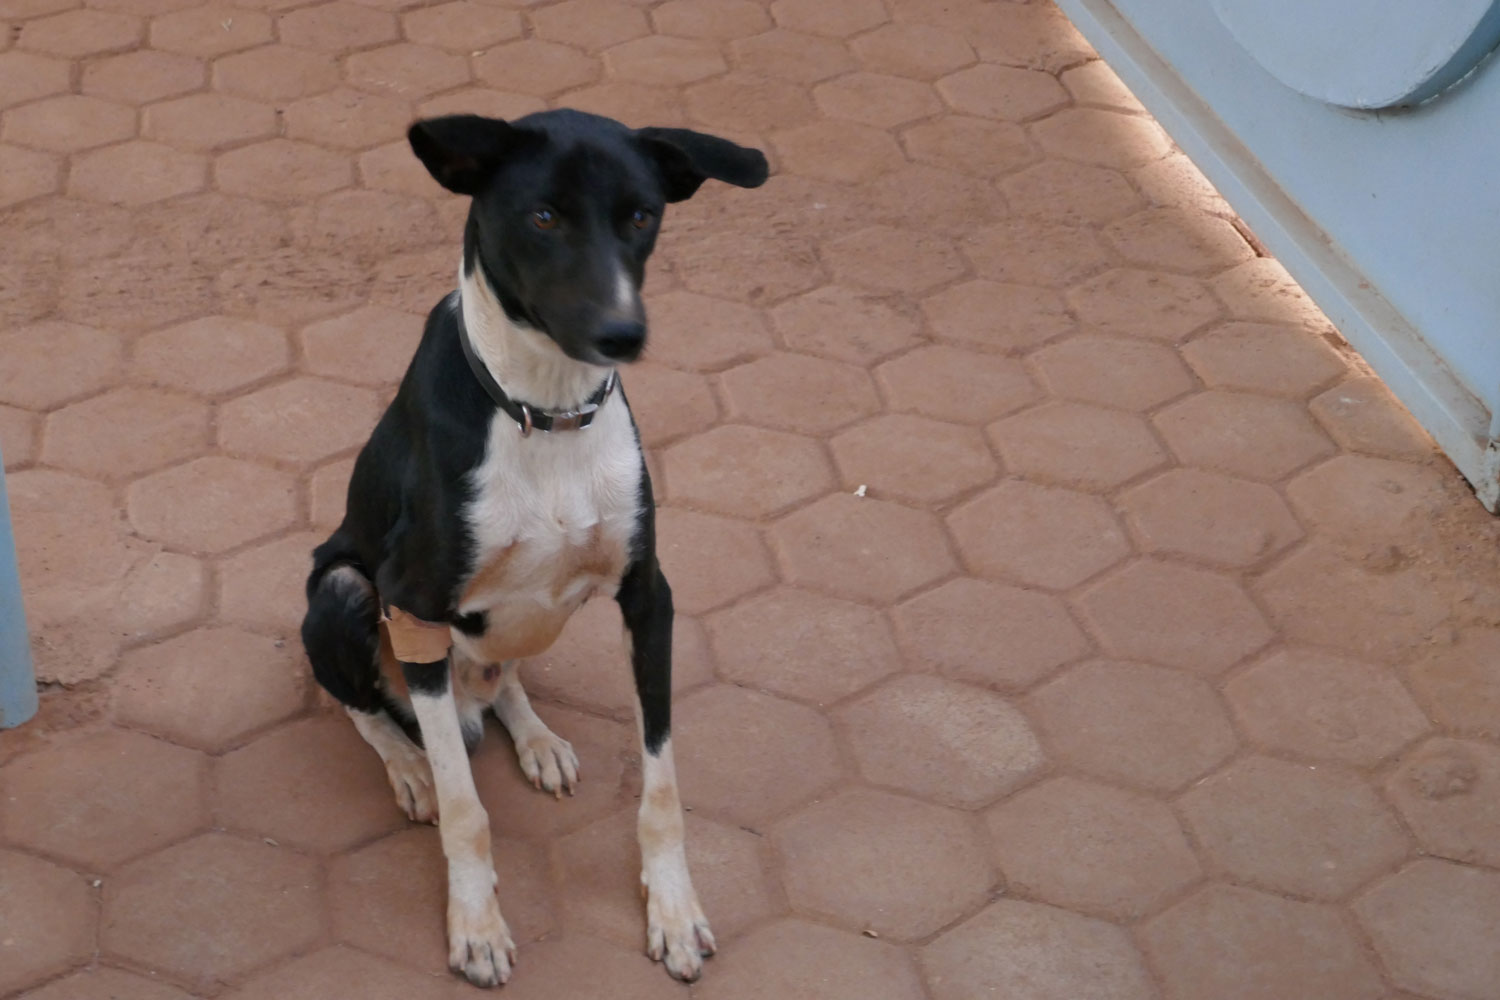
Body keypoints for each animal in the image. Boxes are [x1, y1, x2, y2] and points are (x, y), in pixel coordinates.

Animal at [304, 111, 774, 983]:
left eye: (641, 216)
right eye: (545, 216)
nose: (622, 334)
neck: (544, 412)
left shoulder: (647, 596)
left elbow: (663, 786)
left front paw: (673, 910)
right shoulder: (412, 606)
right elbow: (466, 810)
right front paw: (477, 925)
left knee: (504, 677)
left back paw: (534, 737)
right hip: (341, 593)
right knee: (368, 708)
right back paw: (409, 764)